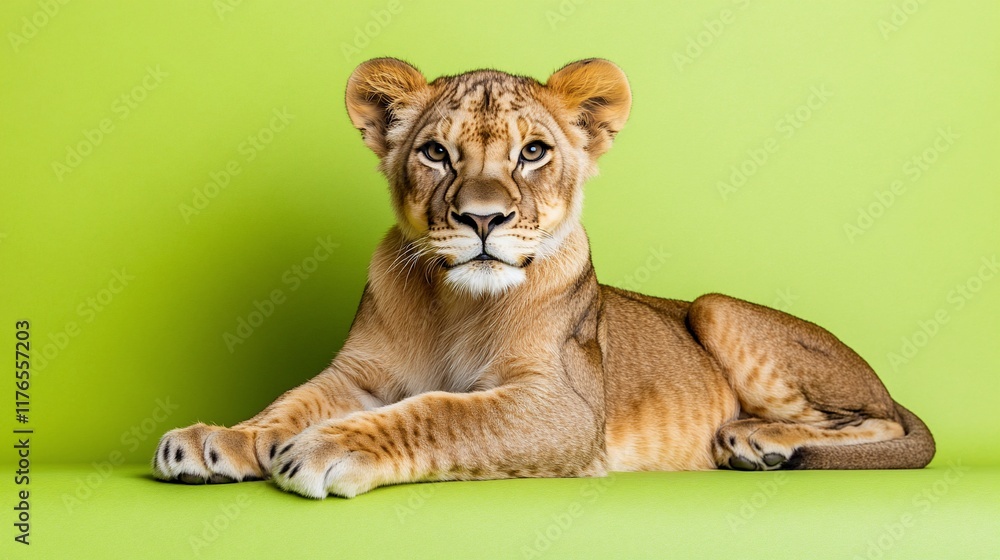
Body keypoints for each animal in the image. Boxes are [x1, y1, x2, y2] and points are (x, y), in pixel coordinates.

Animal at [153, 58, 934, 498]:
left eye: (532, 152)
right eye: (435, 153)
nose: (482, 219)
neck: (455, 304)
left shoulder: (563, 407)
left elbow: (441, 412)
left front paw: (327, 446)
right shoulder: (359, 375)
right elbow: (288, 404)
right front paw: (218, 440)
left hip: (715, 309)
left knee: (879, 421)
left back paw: (757, 442)